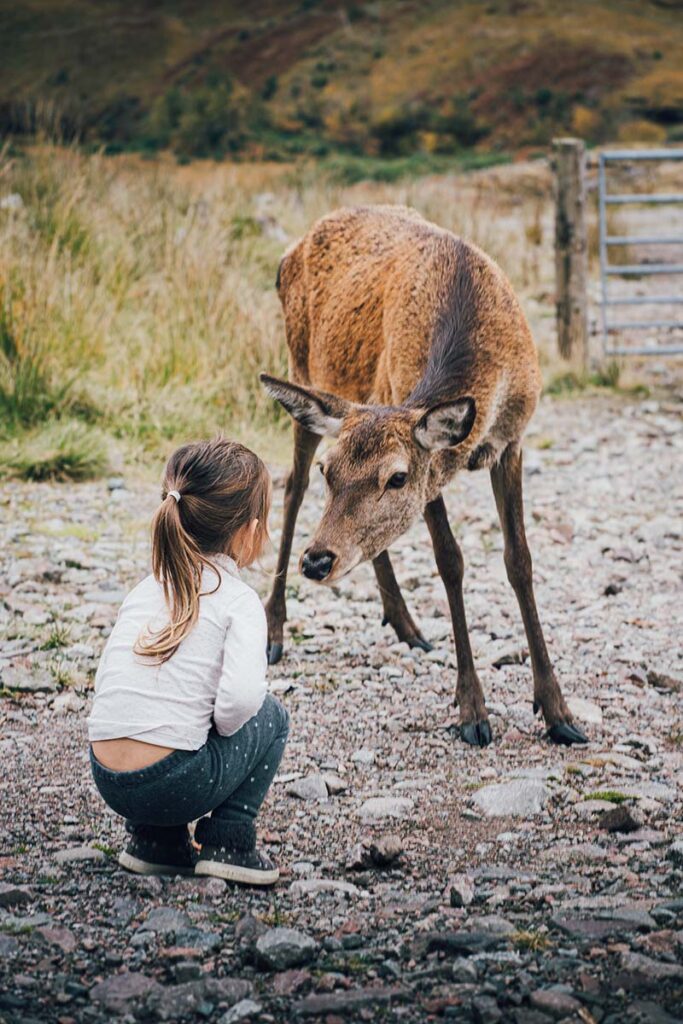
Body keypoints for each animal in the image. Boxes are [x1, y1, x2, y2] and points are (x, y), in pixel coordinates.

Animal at [260, 203, 589, 749]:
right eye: (332, 471)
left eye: (396, 478)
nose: (318, 560)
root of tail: (289, 251)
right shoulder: (427, 456)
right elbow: (450, 561)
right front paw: (472, 710)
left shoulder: (512, 442)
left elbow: (519, 560)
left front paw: (558, 711)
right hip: (302, 369)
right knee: (290, 488)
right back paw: (273, 631)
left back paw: (406, 624)